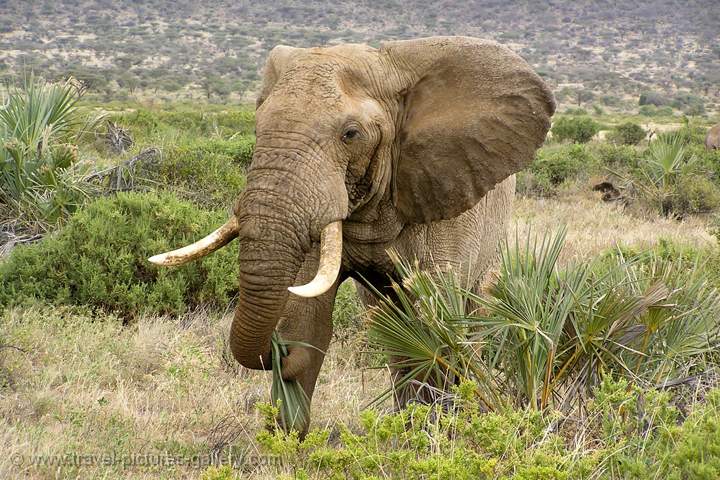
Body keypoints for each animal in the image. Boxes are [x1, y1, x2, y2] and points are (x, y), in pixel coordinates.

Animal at [149, 35, 556, 434]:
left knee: (469, 319)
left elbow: (436, 322)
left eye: (350, 134)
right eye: (257, 126)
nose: (281, 352)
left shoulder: (443, 192)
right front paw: (288, 440)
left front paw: (438, 432)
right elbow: (308, 316)